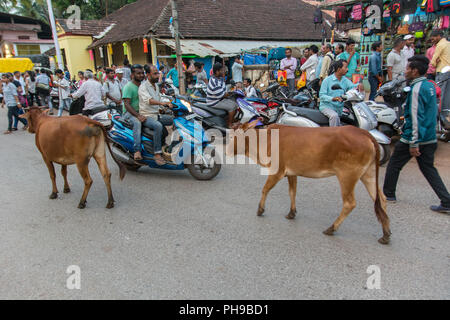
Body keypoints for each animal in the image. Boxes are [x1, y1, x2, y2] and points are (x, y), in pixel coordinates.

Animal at [225, 123, 390, 245]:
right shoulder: (292, 172)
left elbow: (265, 189)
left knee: (350, 203)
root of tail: (364, 133)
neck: (266, 140)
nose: (226, 151)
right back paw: (386, 234)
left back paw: (331, 228)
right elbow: (292, 192)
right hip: (368, 174)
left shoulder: (277, 171)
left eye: (233, 136)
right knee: (381, 199)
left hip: (347, 176)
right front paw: (291, 213)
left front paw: (260, 209)